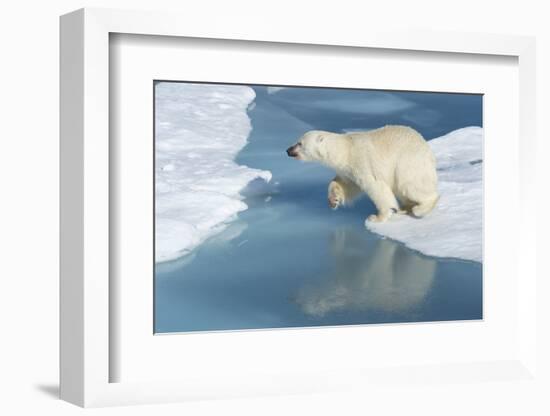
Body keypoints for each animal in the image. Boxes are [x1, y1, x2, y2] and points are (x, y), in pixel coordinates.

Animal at [288, 126, 440, 223]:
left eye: (300, 143)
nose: (288, 150)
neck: (346, 150)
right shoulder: (348, 170)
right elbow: (346, 184)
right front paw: (333, 200)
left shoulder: (362, 162)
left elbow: (376, 186)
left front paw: (377, 217)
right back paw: (405, 208)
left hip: (408, 162)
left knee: (410, 186)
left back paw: (420, 208)